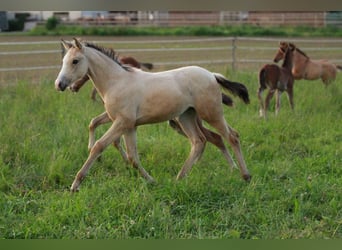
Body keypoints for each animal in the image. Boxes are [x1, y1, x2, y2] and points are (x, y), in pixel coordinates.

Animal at [54, 38, 251, 191]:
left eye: (75, 61)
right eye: (63, 60)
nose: (60, 84)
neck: (116, 82)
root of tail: (212, 75)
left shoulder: (122, 122)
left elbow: (100, 146)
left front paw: (75, 185)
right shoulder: (128, 125)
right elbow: (132, 157)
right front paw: (151, 181)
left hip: (211, 113)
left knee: (231, 136)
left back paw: (245, 176)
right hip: (186, 116)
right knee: (200, 141)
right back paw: (180, 178)